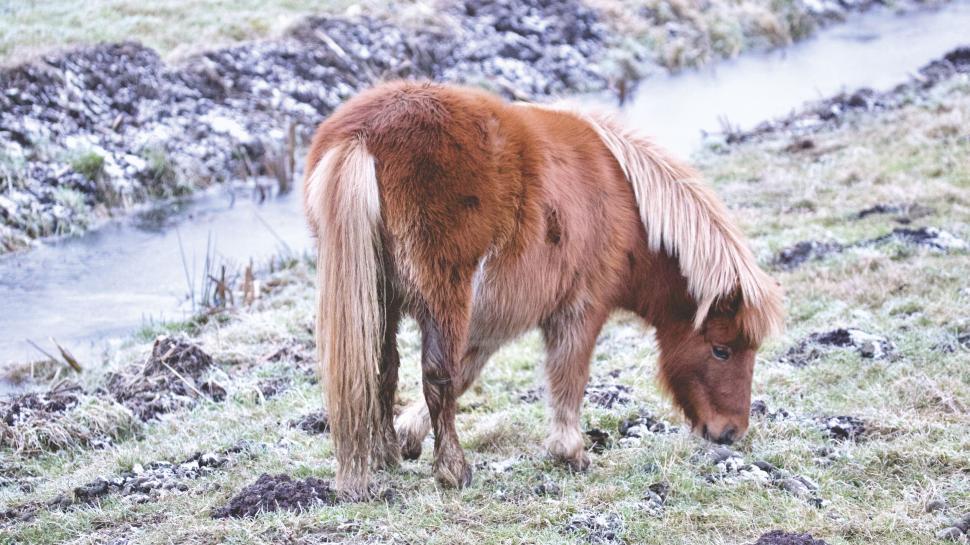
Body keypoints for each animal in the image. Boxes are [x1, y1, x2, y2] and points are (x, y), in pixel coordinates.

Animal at [302, 81, 783, 500]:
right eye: (722, 350)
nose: (730, 432)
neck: (628, 205)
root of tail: (364, 136)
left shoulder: (492, 318)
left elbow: (467, 370)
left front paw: (407, 436)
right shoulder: (579, 309)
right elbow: (567, 374)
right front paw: (570, 453)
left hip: (379, 299)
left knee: (382, 370)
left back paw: (384, 455)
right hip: (444, 297)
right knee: (434, 375)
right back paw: (453, 471)